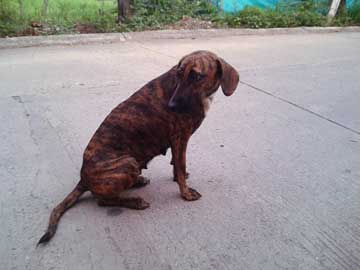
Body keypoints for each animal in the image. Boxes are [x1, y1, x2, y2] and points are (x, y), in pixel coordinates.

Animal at [38, 50, 239, 245]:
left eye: (196, 76)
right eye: (179, 74)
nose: (171, 106)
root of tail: (83, 178)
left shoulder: (178, 142)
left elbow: (177, 165)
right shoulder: (180, 138)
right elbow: (181, 167)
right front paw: (186, 193)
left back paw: (138, 181)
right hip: (128, 162)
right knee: (102, 201)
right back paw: (135, 201)